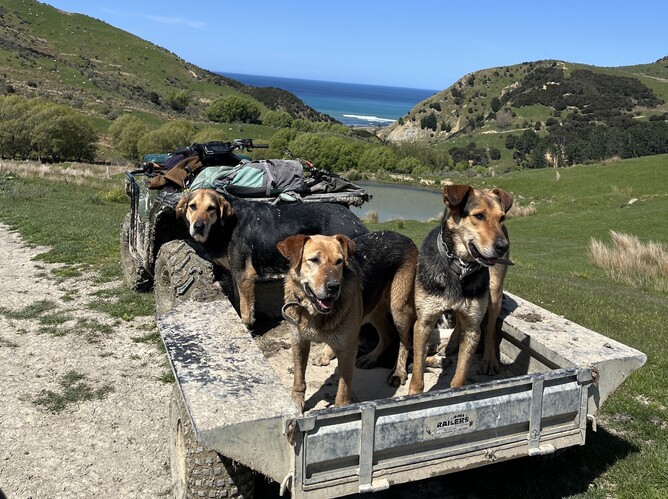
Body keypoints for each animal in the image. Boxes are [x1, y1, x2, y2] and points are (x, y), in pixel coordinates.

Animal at [175, 189, 368, 328]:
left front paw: (248, 328)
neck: (225, 225)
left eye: (211, 208)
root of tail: (357, 221)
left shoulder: (245, 275)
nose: (198, 227)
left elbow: (246, 310)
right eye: (192, 206)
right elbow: (238, 301)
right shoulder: (237, 274)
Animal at [277, 231, 417, 411]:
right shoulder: (299, 341)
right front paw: (296, 402)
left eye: (339, 262)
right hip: (373, 309)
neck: (314, 311)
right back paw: (370, 358)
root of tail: (404, 237)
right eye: (314, 260)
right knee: (388, 335)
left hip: (399, 309)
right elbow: (299, 377)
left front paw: (341, 411)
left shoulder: (348, 350)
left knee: (404, 341)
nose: (333, 287)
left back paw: (398, 372)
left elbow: (343, 391)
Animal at [409, 184, 512, 395]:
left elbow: (462, 372)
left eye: (501, 218)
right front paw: (413, 392)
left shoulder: (473, 328)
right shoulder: (424, 321)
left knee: (490, 327)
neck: (460, 267)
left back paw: (489, 359)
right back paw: (450, 345)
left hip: (494, 292)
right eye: (479, 216)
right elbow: (417, 367)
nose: (502, 247)